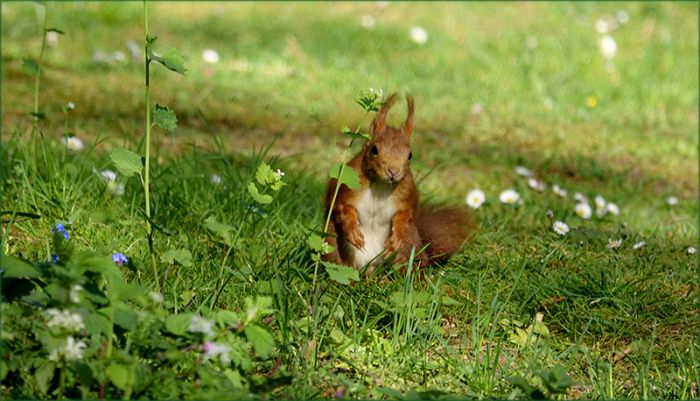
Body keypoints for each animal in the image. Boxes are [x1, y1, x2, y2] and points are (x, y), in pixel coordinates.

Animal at [324, 93, 473, 271]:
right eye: (374, 150)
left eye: (410, 155)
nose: (393, 171)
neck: (381, 184)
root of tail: (371, 270)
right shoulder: (347, 186)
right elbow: (341, 207)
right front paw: (353, 231)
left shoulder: (407, 192)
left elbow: (405, 214)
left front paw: (397, 234)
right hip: (332, 244)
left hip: (408, 248)